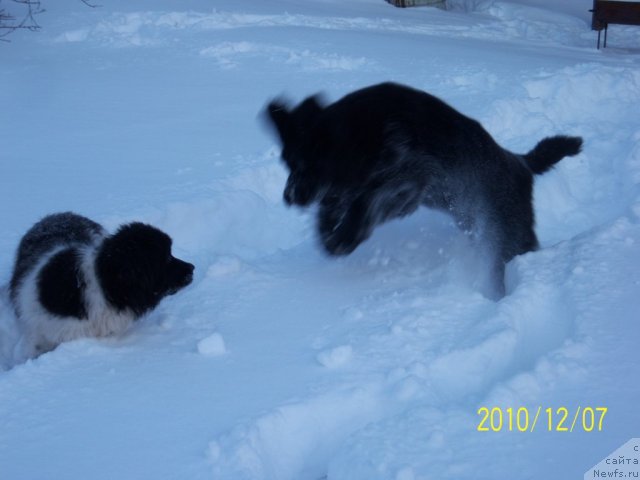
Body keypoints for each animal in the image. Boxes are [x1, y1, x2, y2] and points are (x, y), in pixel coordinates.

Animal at [268, 83, 584, 300]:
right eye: (286, 162)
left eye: (302, 164)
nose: (287, 198)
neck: (359, 135)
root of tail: (521, 163)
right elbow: (332, 207)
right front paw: (330, 234)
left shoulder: (408, 182)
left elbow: (363, 205)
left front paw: (343, 239)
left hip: (507, 237)